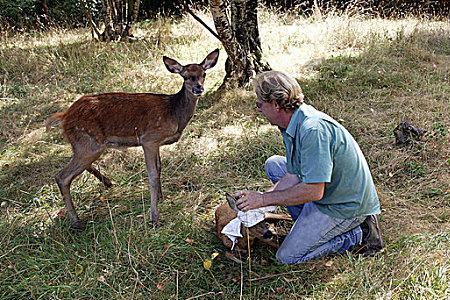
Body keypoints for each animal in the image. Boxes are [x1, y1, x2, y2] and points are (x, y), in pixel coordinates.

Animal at [46, 48, 220, 230]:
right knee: (62, 177)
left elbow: (159, 168)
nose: (198, 88)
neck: (173, 114)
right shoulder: (149, 139)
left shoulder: (157, 143)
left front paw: (161, 197)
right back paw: (76, 221)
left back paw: (107, 183)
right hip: (88, 142)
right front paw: (154, 216)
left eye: (204, 74)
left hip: (84, 144)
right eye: (185, 76)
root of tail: (64, 117)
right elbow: (152, 175)